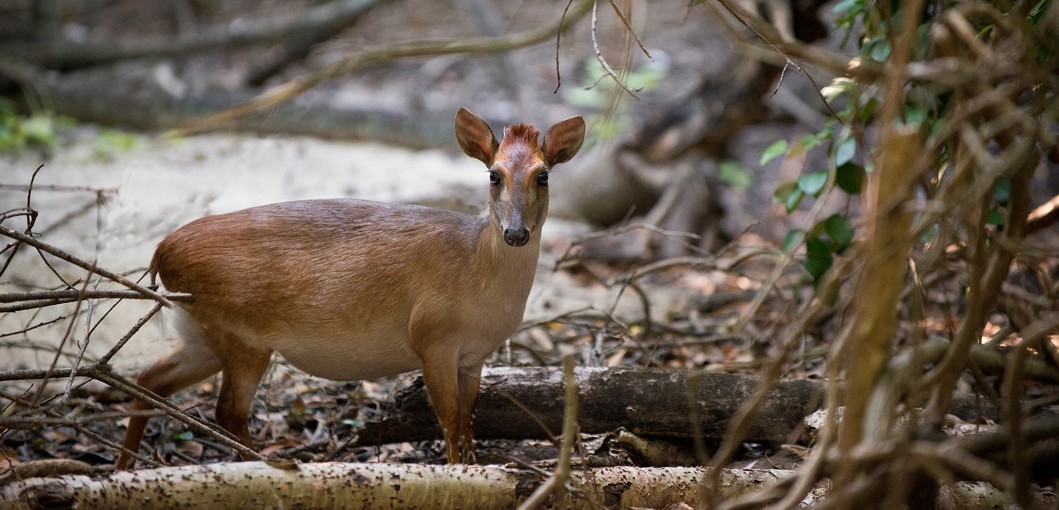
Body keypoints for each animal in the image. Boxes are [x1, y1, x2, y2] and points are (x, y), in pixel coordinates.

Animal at [120, 108, 593, 469]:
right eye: (494, 175)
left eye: (543, 175)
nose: (516, 233)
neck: (477, 274)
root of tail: (162, 252)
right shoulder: (432, 339)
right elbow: (446, 418)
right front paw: (457, 471)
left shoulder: (474, 356)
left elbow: (467, 417)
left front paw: (476, 466)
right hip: (242, 334)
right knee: (226, 411)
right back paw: (270, 464)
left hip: (203, 328)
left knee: (150, 380)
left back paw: (126, 467)